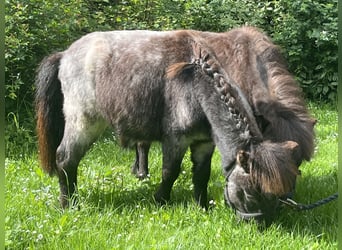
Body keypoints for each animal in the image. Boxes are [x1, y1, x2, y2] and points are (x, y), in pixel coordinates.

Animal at [35, 29, 300, 223]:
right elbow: (170, 172)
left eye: (274, 196)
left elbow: (201, 175)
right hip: (84, 123)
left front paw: (202, 206)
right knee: (65, 159)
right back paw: (70, 204)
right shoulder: (175, 139)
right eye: (248, 192)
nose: (258, 224)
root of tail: (65, 55)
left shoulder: (204, 143)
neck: (196, 82)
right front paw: (160, 200)